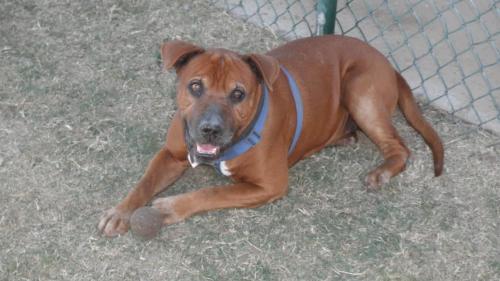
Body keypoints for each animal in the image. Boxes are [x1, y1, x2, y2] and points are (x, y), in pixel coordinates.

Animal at [98, 35, 446, 236]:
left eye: (238, 94)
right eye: (195, 86)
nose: (210, 128)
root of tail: (388, 62)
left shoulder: (269, 185)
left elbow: (212, 192)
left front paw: (168, 208)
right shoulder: (170, 154)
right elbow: (144, 182)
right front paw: (120, 211)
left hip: (360, 90)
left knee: (399, 146)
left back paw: (382, 171)